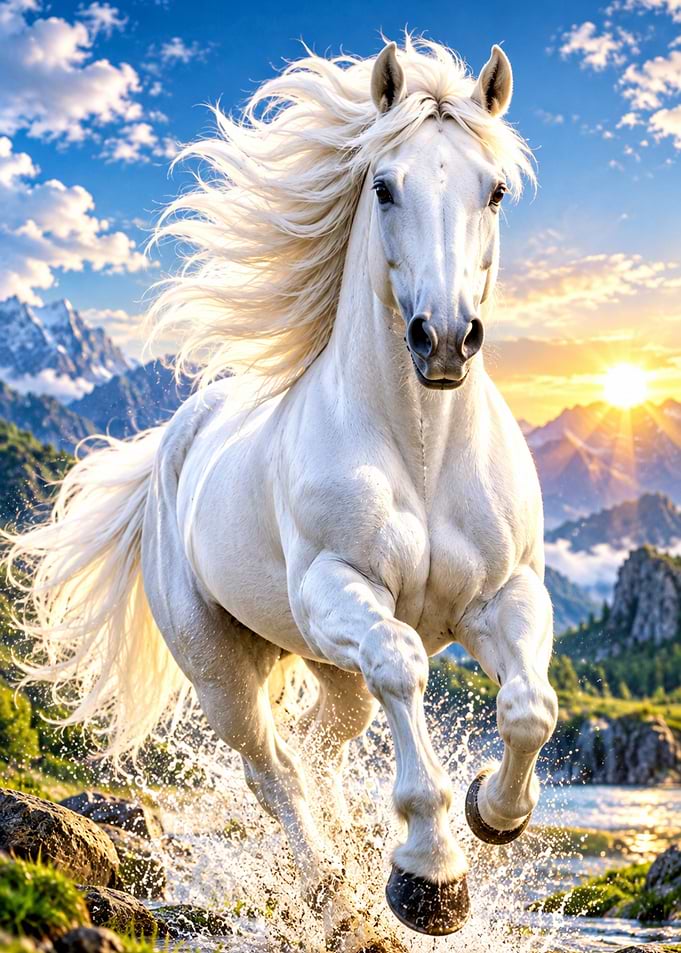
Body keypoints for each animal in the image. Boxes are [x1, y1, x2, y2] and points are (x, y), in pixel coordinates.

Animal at [4, 37, 558, 950]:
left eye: (496, 189)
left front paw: (492, 811)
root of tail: (173, 446)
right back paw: (341, 904)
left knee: (317, 747)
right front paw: (430, 880)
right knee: (275, 773)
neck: (421, 452)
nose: (443, 339)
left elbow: (529, 707)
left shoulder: (505, 594)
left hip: (327, 668)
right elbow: (403, 663)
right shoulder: (339, 588)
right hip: (225, 670)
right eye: (384, 185)